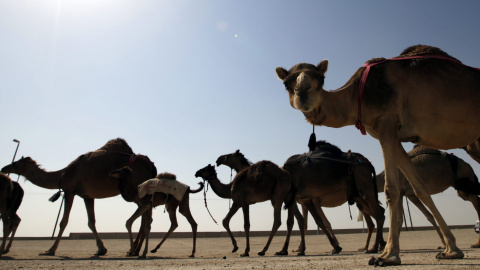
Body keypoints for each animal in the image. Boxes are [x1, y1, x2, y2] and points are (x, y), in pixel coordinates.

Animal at [0, 138, 156, 256]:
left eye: (15, 163)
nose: (4, 168)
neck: (62, 175)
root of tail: (150, 165)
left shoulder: (69, 191)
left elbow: (63, 221)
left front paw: (50, 250)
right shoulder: (87, 196)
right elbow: (91, 222)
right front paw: (101, 249)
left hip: (138, 189)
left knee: (145, 214)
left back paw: (136, 250)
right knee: (145, 216)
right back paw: (135, 250)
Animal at [218, 149, 386, 254]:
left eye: (229, 156)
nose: (218, 159)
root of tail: (367, 163)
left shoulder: (300, 199)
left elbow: (304, 222)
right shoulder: (301, 200)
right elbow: (302, 223)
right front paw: (294, 249)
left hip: (364, 189)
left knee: (379, 214)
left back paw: (374, 247)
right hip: (360, 195)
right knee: (378, 214)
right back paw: (377, 245)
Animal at [274, 44, 480, 266]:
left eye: (321, 78)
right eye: (286, 83)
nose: (303, 92)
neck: (357, 95)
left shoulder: (387, 125)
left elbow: (391, 189)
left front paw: (388, 255)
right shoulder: (394, 135)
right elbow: (419, 188)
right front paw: (452, 249)